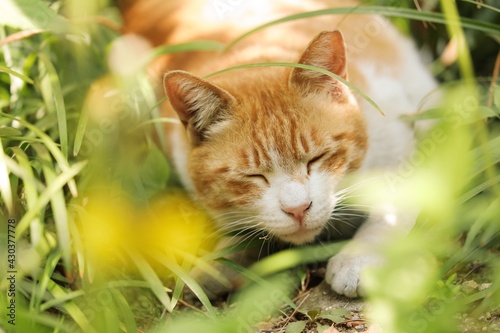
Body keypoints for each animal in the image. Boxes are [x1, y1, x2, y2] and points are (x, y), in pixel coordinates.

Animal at [119, 0, 436, 296]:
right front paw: (215, 265)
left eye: (316, 158)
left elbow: (392, 209)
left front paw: (358, 259)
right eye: (253, 176)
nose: (298, 209)